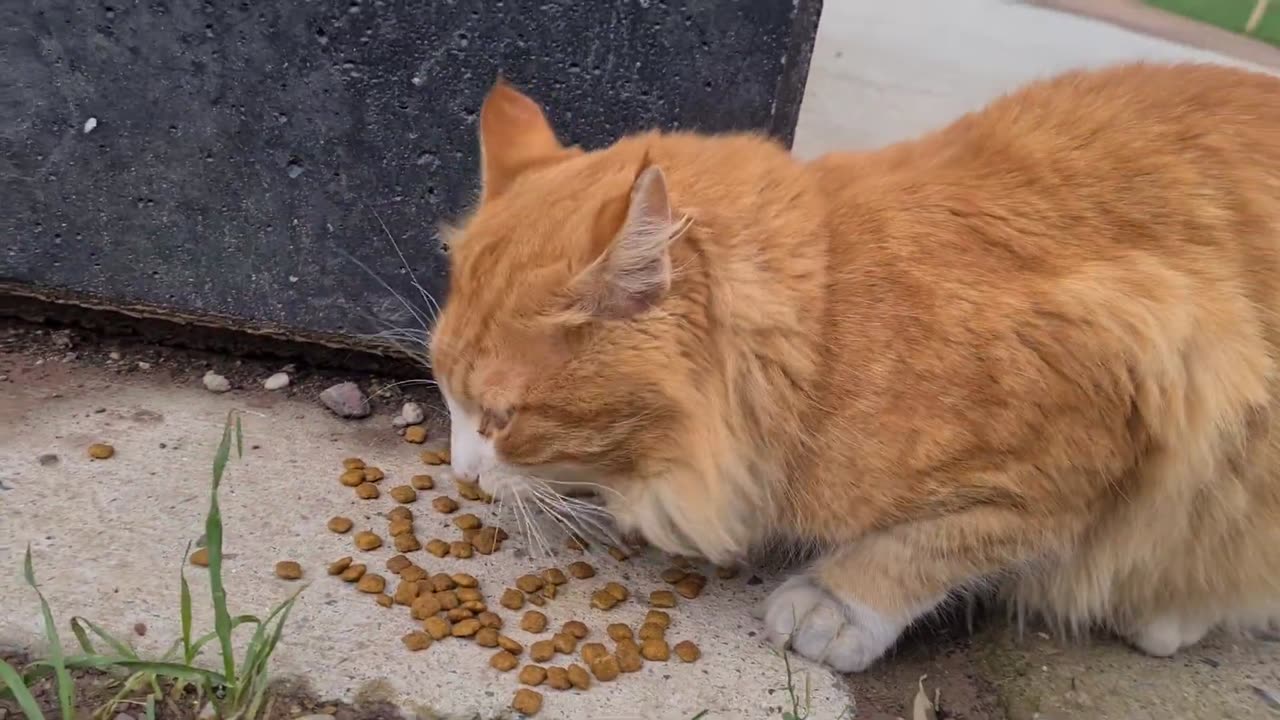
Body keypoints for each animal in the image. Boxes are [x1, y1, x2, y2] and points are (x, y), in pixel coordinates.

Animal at [430, 64, 1280, 671]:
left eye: (501, 419)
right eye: (444, 395)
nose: (462, 473)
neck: (835, 332)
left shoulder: (1140, 400)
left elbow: (937, 541)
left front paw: (836, 603)